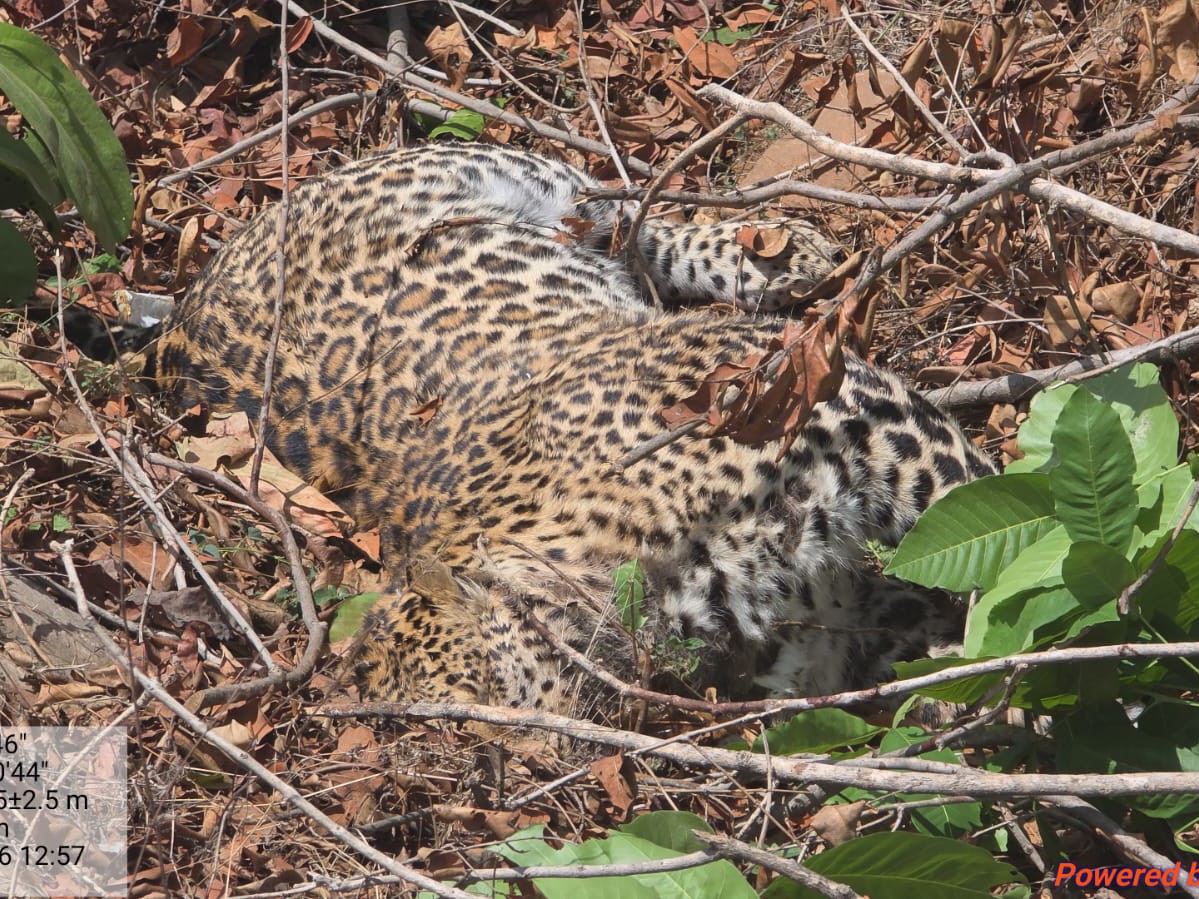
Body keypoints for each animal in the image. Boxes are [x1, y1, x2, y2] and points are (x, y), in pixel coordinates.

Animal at [149, 142, 996, 715]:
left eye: (473, 693)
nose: (510, 769)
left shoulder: (869, 427)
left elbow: (986, 513)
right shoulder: (821, 631)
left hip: (519, 177)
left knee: (634, 212)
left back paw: (782, 253)